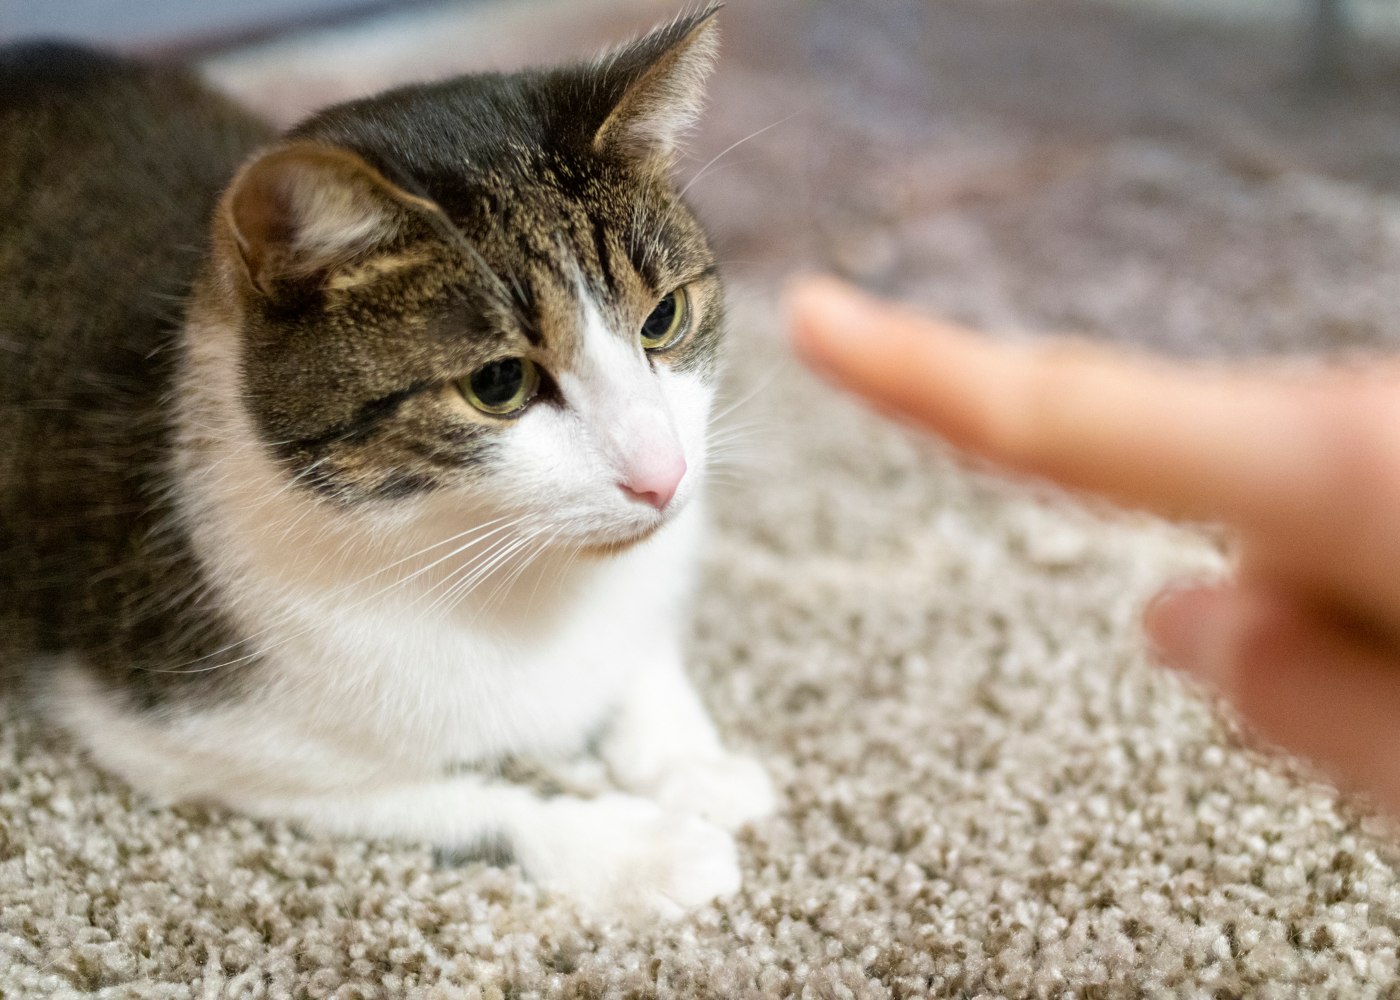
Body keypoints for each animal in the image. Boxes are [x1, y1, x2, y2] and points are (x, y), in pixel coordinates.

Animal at [0, 3, 778, 913]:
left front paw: (693, 763)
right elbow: (470, 800)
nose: (663, 477)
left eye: (663, 319)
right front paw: (636, 846)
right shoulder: (182, 732)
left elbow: (645, 654)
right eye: (499, 382)